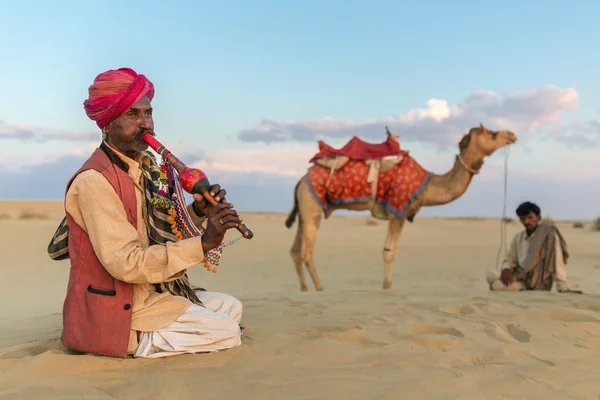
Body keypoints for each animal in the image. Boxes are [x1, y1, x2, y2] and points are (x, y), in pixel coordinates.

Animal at [284, 122, 516, 290]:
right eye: (493, 134)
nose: (512, 134)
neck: (427, 185)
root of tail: (301, 181)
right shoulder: (398, 210)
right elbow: (389, 252)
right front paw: (387, 287)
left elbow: (389, 251)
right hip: (312, 206)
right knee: (306, 252)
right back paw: (320, 289)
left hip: (305, 209)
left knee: (295, 250)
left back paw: (304, 289)